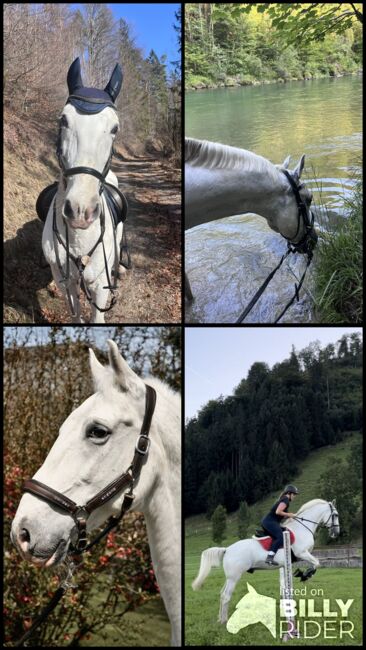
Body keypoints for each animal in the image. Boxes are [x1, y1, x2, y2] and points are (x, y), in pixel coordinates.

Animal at [43, 59, 124, 322]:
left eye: (114, 128)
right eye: (63, 120)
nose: (80, 210)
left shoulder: (99, 285)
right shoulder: (65, 281)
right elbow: (76, 315)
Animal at [193, 496, 338, 624]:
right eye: (335, 515)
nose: (336, 533)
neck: (303, 528)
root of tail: (227, 549)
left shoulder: (287, 563)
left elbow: (287, 584)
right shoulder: (302, 553)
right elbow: (316, 563)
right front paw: (305, 574)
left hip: (229, 577)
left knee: (221, 594)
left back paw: (220, 618)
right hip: (234, 577)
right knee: (226, 596)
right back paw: (224, 621)